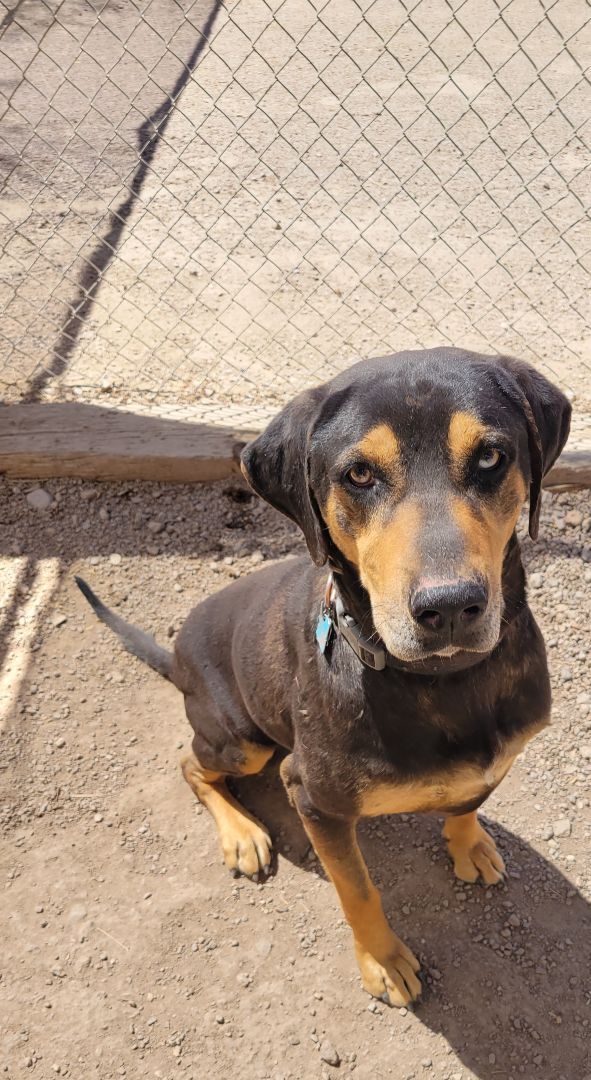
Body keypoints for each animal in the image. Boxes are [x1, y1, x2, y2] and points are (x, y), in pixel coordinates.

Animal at [76, 349, 570, 1006]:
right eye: (358, 474)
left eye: (491, 456)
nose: (448, 607)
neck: (443, 682)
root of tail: (176, 653)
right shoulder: (313, 798)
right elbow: (358, 890)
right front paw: (383, 960)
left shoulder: (494, 761)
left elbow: (468, 800)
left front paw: (469, 844)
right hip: (245, 742)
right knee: (190, 763)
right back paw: (242, 833)